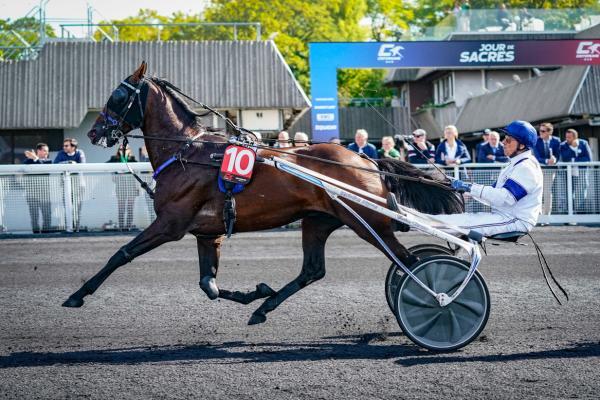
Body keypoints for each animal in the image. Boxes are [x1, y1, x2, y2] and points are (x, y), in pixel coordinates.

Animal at [62, 62, 464, 324]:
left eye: (117, 95)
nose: (95, 132)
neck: (188, 152)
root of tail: (365, 158)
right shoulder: (207, 233)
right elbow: (208, 284)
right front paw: (255, 292)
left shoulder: (170, 223)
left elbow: (121, 254)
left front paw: (77, 294)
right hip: (318, 220)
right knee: (313, 270)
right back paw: (263, 309)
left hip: (369, 223)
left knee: (410, 263)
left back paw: (437, 300)